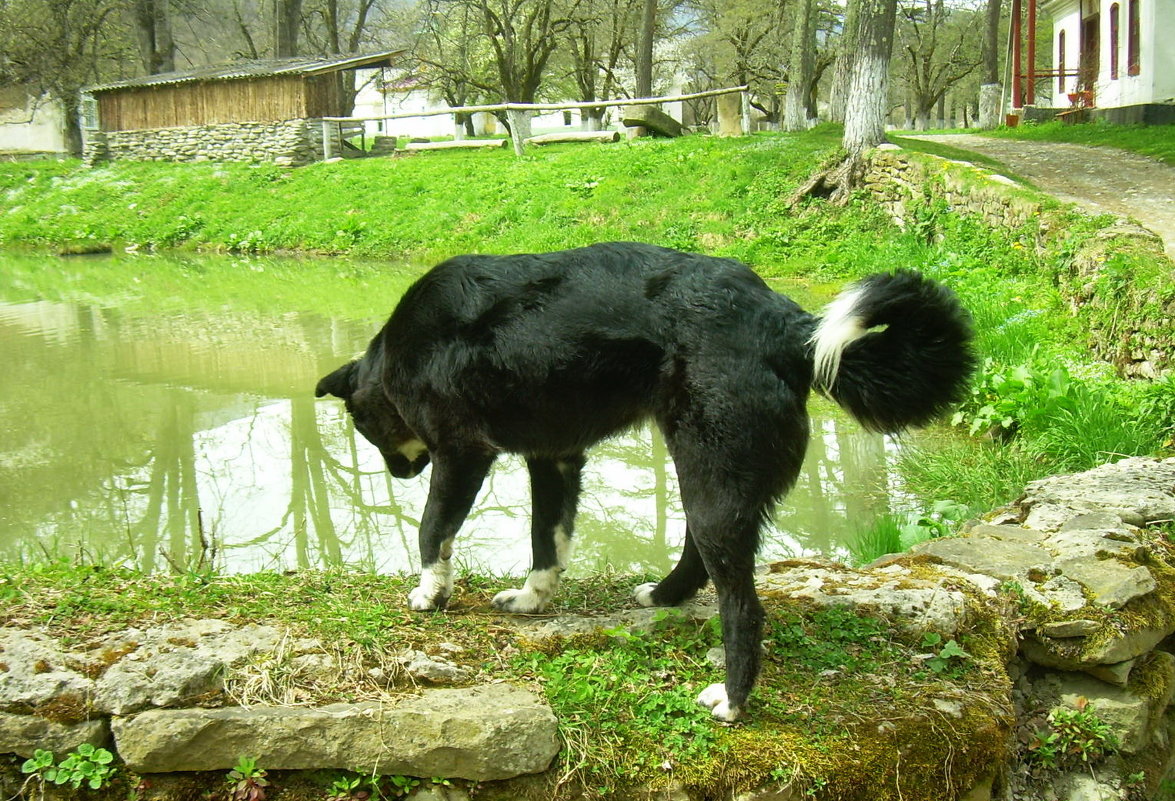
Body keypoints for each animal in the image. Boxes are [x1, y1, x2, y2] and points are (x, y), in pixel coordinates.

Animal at [314, 240, 972, 718]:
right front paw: (533, 598)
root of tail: (786, 325)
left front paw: (430, 592)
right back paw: (664, 596)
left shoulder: (462, 452)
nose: (399, 471)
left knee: (742, 605)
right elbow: (547, 540)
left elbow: (432, 530)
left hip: (711, 472)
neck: (396, 354)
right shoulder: (554, 457)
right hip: (705, 472)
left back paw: (732, 700)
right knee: (700, 555)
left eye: (363, 427)